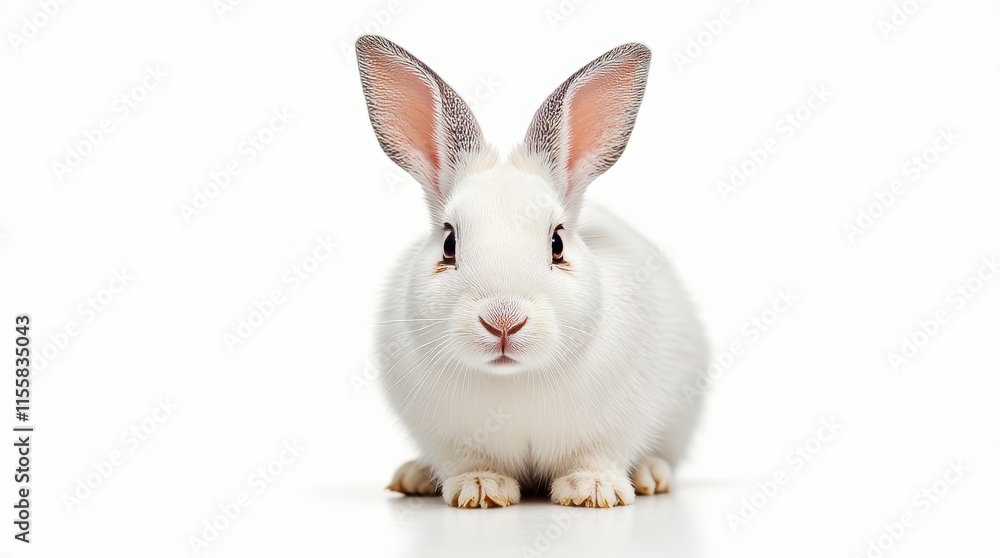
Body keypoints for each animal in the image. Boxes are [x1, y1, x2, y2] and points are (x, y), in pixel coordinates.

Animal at [356, 35, 708, 508]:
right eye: (449, 244)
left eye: (557, 243)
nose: (503, 320)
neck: (514, 379)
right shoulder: (446, 437)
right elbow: (467, 461)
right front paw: (480, 488)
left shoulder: (617, 424)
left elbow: (597, 455)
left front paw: (592, 490)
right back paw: (414, 477)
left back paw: (651, 475)